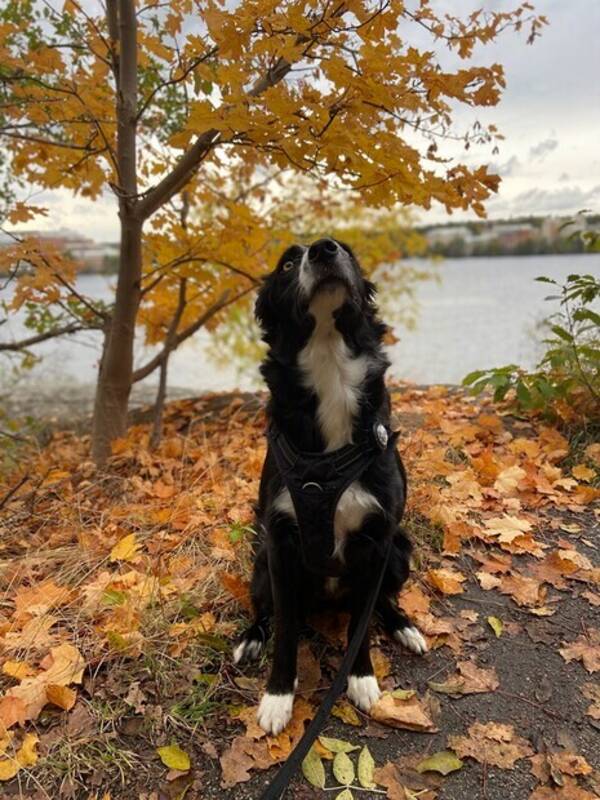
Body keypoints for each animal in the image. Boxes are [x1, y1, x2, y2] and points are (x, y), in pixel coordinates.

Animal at [233, 239, 426, 736]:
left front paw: (360, 678)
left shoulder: (377, 542)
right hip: (261, 566)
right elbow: (285, 631)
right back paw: (251, 638)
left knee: (381, 603)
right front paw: (278, 696)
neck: (328, 365)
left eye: (350, 253)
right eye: (287, 263)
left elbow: (361, 621)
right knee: (267, 613)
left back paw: (403, 625)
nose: (324, 250)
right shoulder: (281, 545)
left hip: (400, 552)